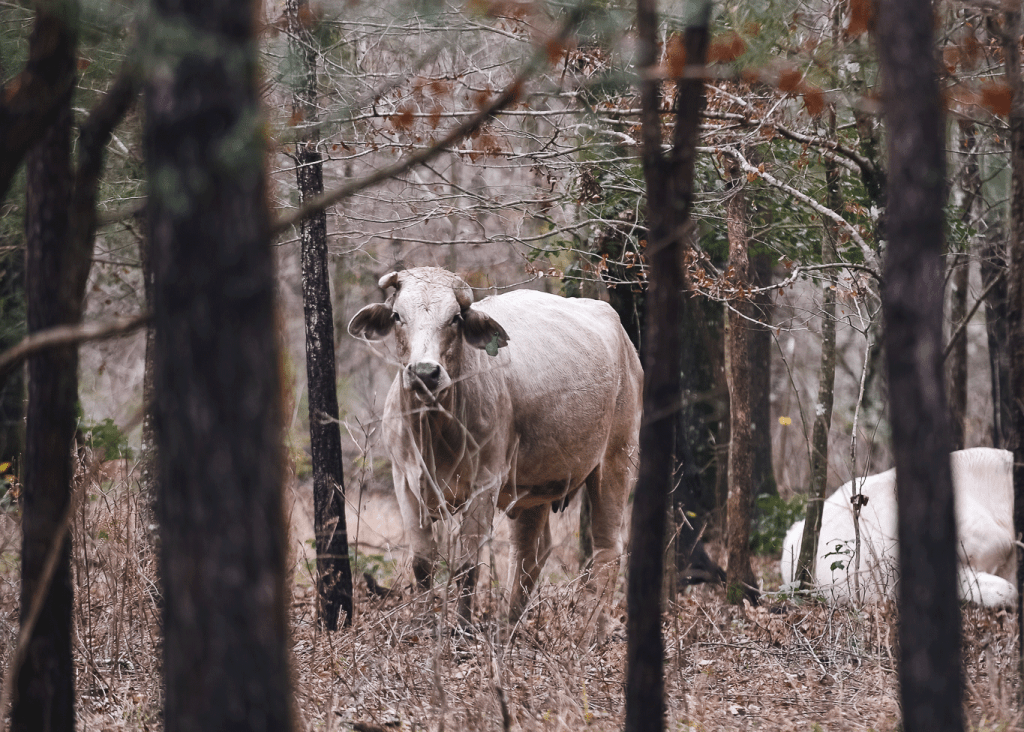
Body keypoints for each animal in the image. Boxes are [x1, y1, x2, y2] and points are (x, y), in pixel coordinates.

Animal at [348, 267, 643, 633]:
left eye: (455, 318)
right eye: (398, 316)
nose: (425, 373)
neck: (435, 431)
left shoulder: (484, 484)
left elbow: (467, 567)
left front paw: (461, 631)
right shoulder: (405, 480)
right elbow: (422, 563)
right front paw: (423, 626)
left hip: (616, 461)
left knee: (607, 549)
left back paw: (591, 632)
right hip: (533, 487)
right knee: (530, 552)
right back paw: (509, 629)